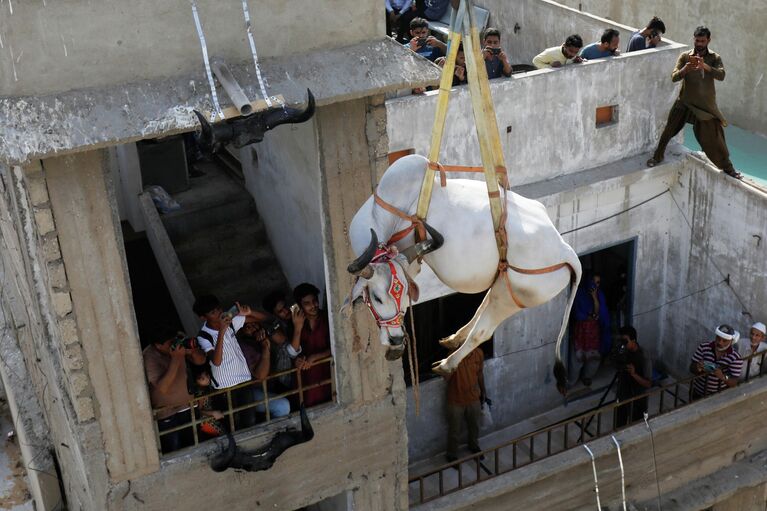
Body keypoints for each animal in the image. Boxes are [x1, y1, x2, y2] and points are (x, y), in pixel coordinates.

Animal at [344, 154, 584, 394]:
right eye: (377, 298)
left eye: (399, 296)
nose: (395, 340)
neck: (383, 212)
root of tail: (567, 252)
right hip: (502, 286)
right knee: (484, 304)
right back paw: (454, 338)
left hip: (510, 298)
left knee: (482, 331)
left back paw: (447, 364)